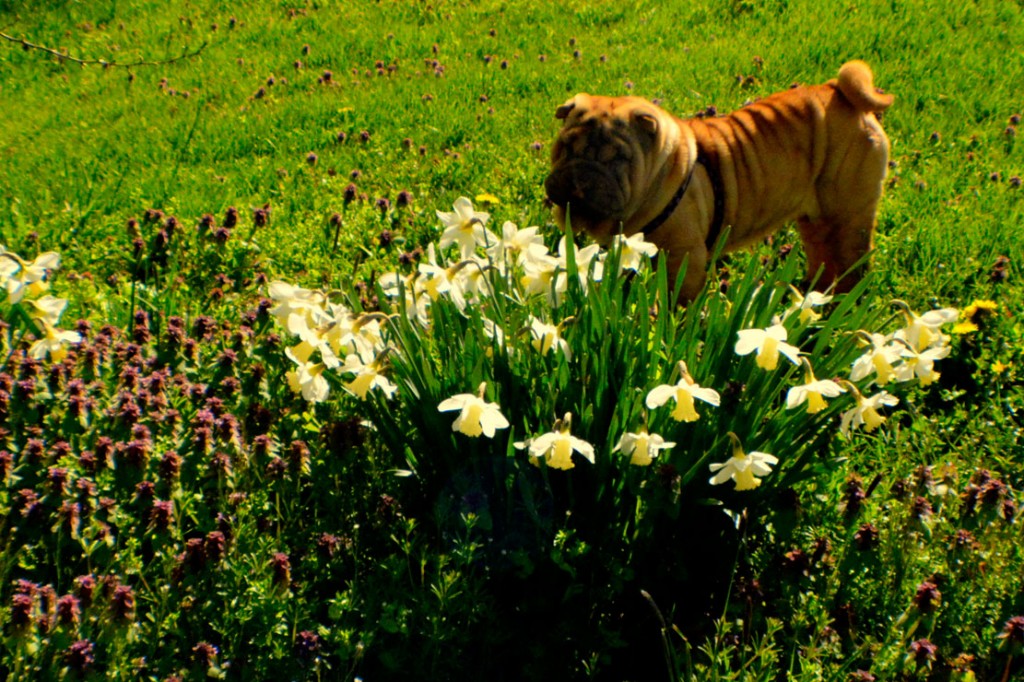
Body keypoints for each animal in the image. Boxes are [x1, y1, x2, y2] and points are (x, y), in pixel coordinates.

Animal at [548, 59, 892, 299]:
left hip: (848, 214)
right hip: (815, 219)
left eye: (618, 158)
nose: (581, 175)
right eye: (565, 148)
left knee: (850, 262)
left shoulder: (684, 257)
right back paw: (814, 291)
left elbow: (678, 299)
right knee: (822, 254)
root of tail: (839, 90)